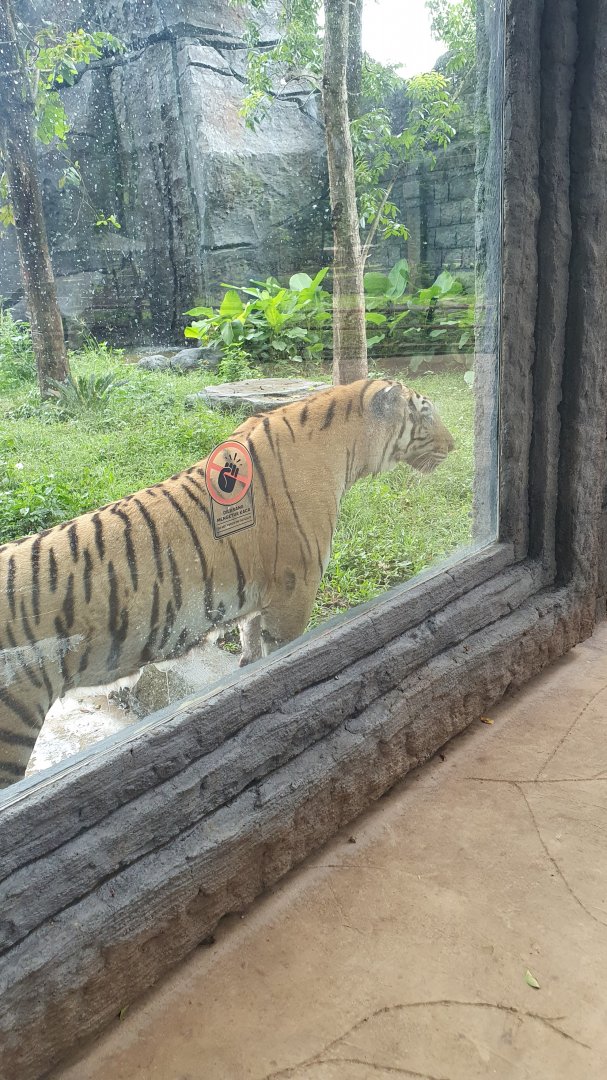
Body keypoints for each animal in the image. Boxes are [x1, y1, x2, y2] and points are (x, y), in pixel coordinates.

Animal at [0, 378, 455, 788]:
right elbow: (284, 654)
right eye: (426, 412)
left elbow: (251, 646)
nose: (453, 446)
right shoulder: (295, 589)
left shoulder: (262, 596)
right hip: (13, 724)